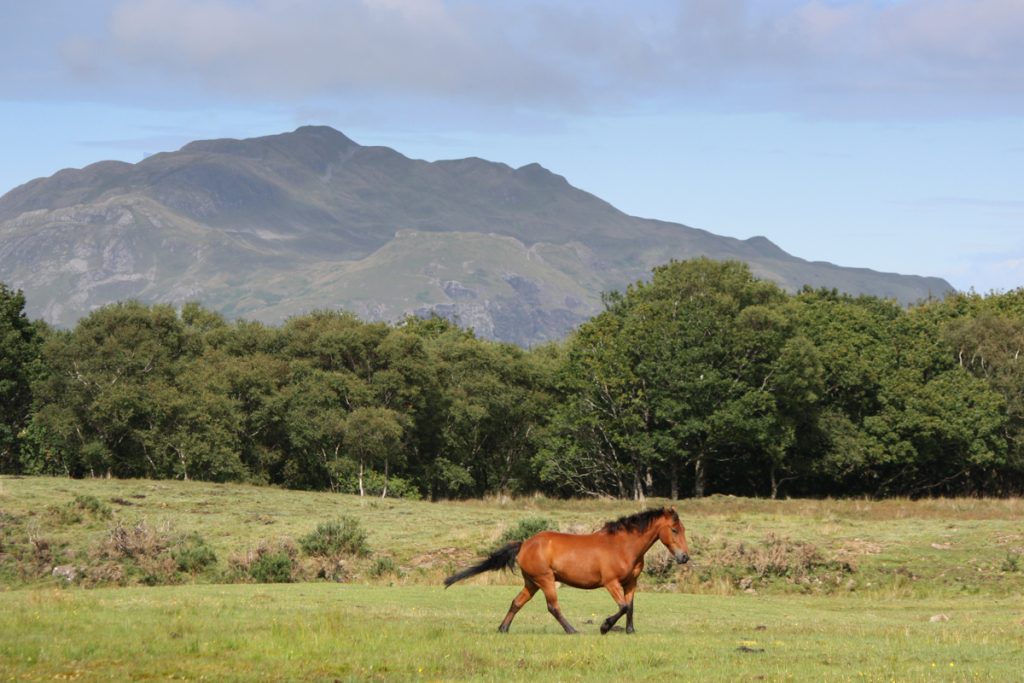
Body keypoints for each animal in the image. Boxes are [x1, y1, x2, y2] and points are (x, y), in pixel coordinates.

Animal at [444, 507, 692, 634]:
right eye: (674, 529)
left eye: (682, 529)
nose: (684, 557)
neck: (623, 546)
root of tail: (524, 544)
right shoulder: (611, 582)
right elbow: (622, 606)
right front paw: (604, 627)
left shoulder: (631, 582)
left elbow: (630, 607)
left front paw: (630, 631)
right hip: (545, 580)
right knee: (553, 607)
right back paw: (572, 630)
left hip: (532, 583)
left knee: (516, 602)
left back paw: (503, 628)